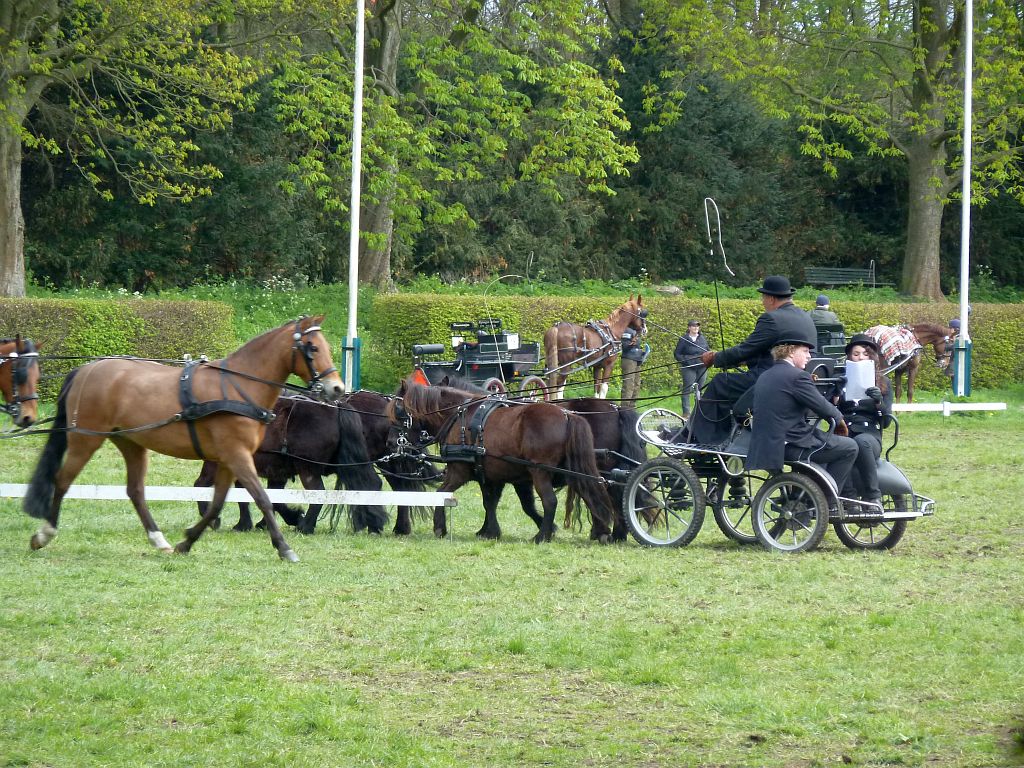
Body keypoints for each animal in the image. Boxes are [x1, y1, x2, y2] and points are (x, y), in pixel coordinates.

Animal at [20, 315, 344, 561]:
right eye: (312, 348)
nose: (337, 388)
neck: (237, 386)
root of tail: (86, 369)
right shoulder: (237, 455)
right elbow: (262, 498)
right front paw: (284, 547)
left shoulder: (227, 460)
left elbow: (216, 503)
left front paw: (186, 542)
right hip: (85, 439)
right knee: (62, 480)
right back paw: (44, 534)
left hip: (131, 443)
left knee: (135, 491)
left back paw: (158, 539)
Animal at [192, 397, 387, 536]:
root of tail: (336, 405)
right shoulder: (275, 474)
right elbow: (264, 497)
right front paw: (248, 524)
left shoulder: (217, 464)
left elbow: (201, 485)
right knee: (371, 484)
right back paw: (373, 525)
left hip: (307, 469)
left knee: (319, 493)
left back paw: (306, 527)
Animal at [385, 382, 606, 544]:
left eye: (398, 412)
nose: (390, 442)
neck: (458, 416)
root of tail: (567, 415)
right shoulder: (492, 475)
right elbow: (492, 502)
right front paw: (489, 531)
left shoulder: (459, 471)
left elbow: (442, 493)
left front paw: (440, 527)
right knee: (590, 492)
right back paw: (602, 530)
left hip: (540, 472)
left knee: (551, 501)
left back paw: (541, 536)